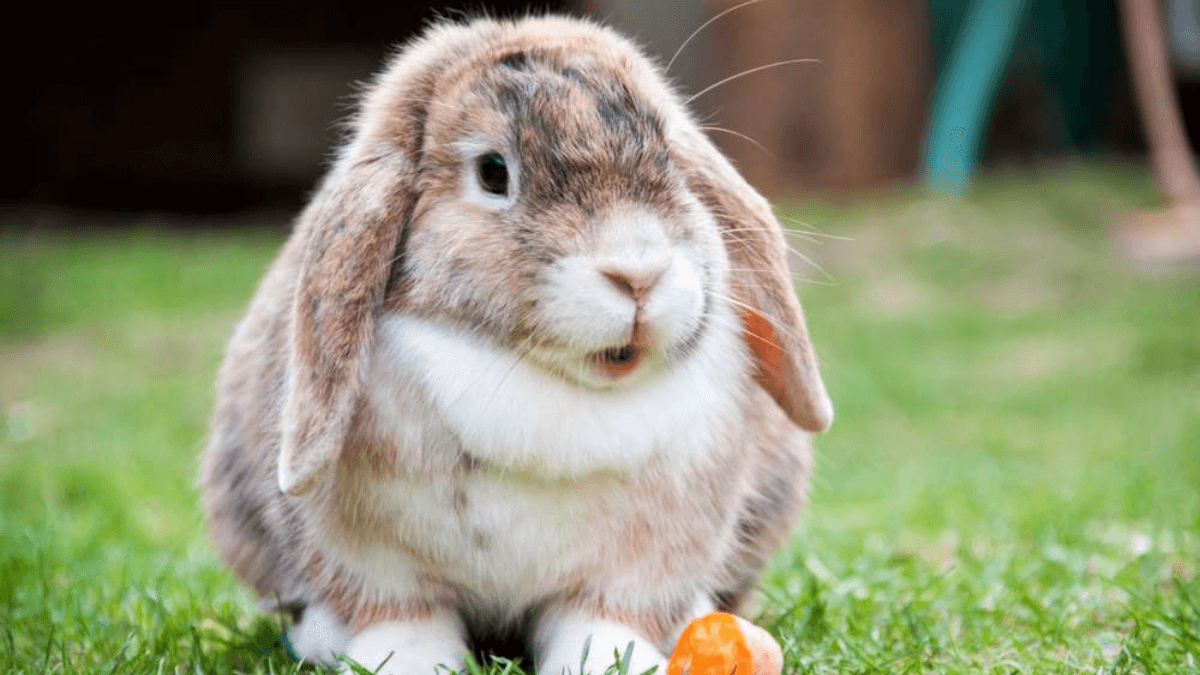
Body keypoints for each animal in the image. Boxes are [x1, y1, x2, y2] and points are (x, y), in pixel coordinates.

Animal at [199, 11, 835, 672]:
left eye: (671, 161)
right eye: (492, 172)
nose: (638, 273)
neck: (547, 384)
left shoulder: (641, 565)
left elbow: (601, 619)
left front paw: (613, 659)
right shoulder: (372, 563)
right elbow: (404, 618)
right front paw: (409, 661)